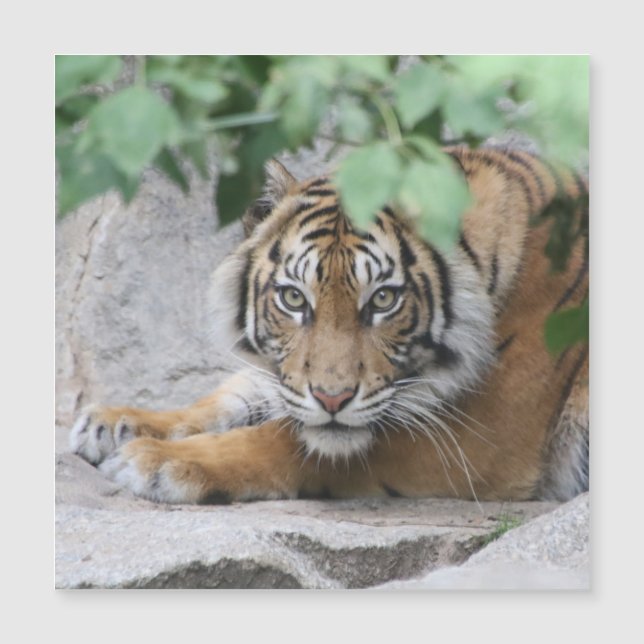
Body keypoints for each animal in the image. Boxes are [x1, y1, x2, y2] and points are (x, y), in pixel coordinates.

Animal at [69, 146, 589, 505]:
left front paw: (156, 461)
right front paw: (116, 422)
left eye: (383, 299)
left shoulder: (478, 438)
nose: (332, 399)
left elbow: (284, 442)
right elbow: (233, 396)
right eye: (294, 298)